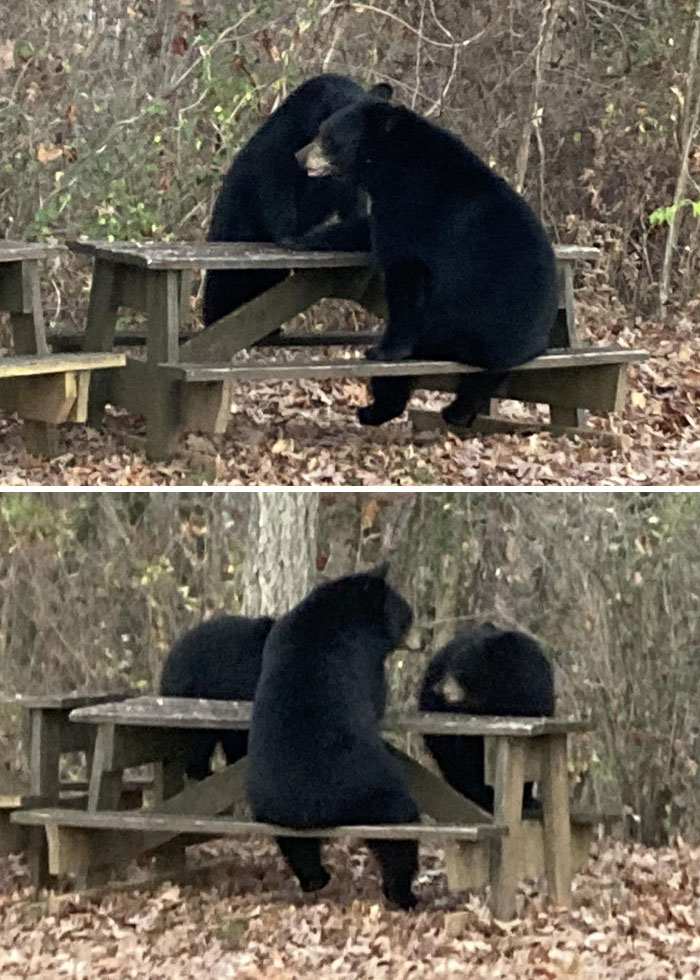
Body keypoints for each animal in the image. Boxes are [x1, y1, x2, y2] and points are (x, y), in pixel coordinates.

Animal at [246, 563, 420, 909]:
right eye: (407, 615)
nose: (421, 641)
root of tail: (315, 807)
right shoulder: (364, 656)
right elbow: (377, 696)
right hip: (378, 790)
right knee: (399, 836)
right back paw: (404, 893)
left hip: (275, 809)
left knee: (299, 848)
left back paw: (316, 878)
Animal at [295, 98, 559, 426]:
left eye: (327, 134)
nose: (299, 156)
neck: (392, 163)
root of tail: (535, 343)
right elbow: (366, 230)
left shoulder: (415, 205)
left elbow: (402, 272)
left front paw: (384, 350)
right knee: (481, 381)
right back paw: (455, 412)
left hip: (451, 331)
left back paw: (377, 409)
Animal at [418, 622, 554, 815]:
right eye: (452, 664)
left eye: (459, 670)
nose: (436, 687)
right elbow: (469, 754)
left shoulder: (536, 700)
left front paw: (527, 799)